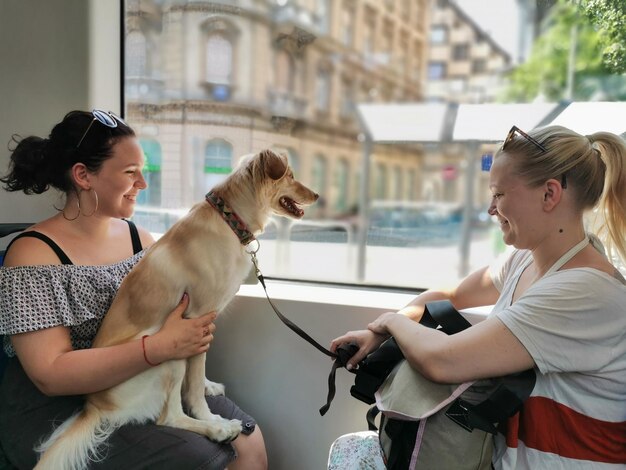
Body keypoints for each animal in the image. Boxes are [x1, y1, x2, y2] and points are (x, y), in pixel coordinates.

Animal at [34, 150, 316, 470]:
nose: (317, 195)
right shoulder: (195, 319)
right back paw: (219, 429)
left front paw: (207, 385)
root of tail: (96, 407)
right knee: (169, 417)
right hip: (167, 356)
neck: (228, 220)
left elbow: (199, 371)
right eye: (290, 175)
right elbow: (192, 384)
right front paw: (209, 415)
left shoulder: (205, 325)